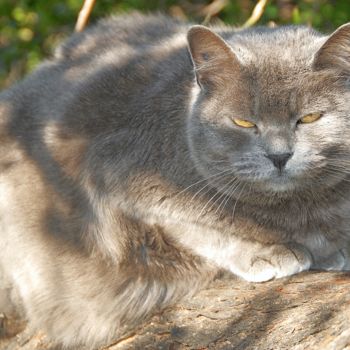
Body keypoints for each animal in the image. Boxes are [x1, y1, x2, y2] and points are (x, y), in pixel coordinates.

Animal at [0, 12, 350, 348]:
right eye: (244, 122)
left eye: (309, 118)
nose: (279, 155)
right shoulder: (118, 179)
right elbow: (200, 228)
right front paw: (270, 252)